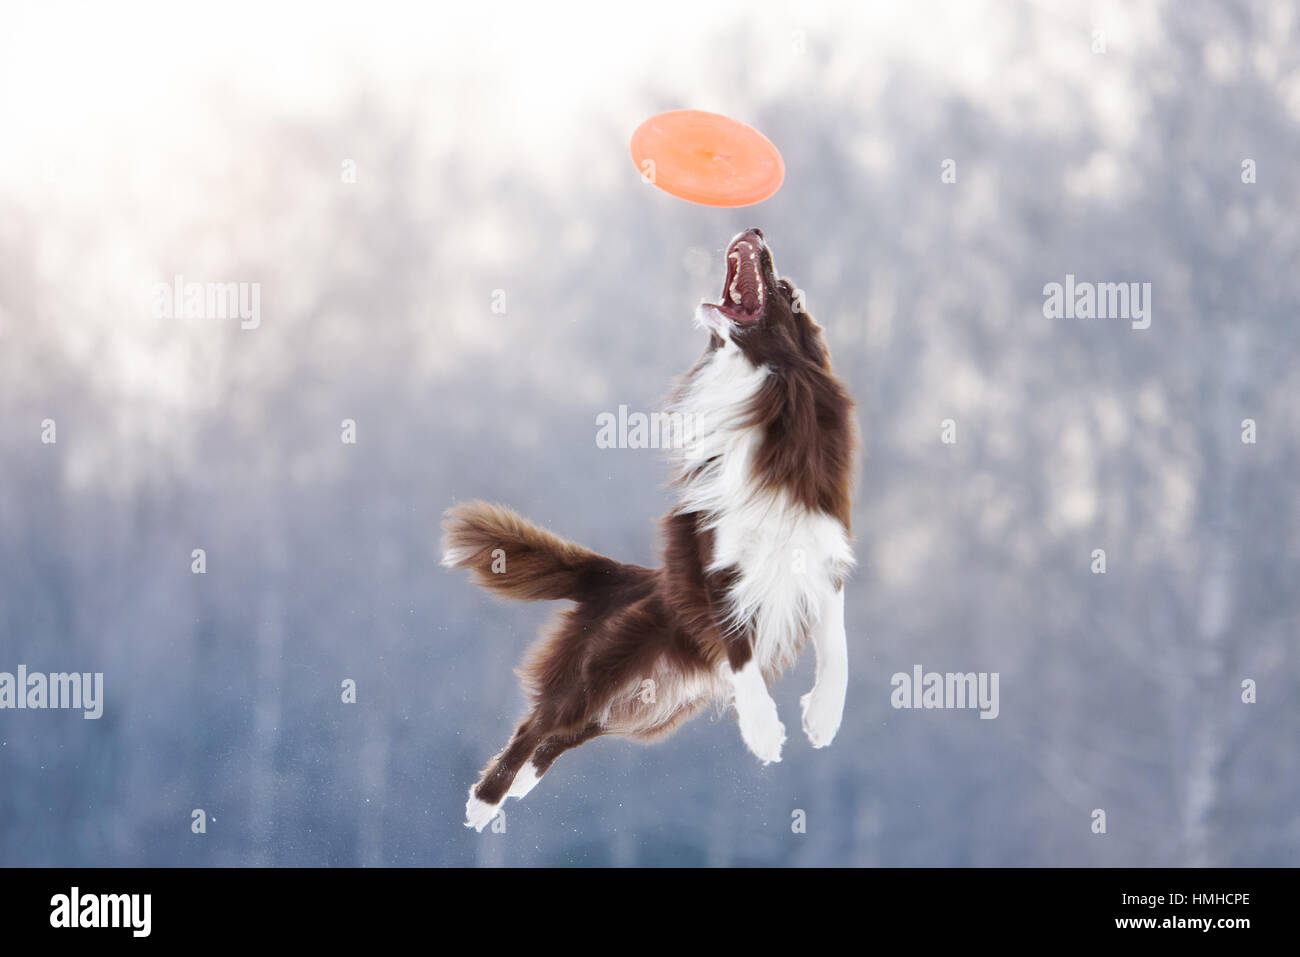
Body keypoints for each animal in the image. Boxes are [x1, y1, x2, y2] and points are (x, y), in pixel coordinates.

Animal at [441, 230, 857, 832]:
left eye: (786, 294)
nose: (755, 231)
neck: (769, 394)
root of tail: (626, 577)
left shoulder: (819, 552)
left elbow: (837, 646)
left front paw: (823, 718)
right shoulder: (715, 564)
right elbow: (741, 649)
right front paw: (763, 731)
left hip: (650, 707)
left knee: (565, 734)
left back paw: (518, 785)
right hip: (605, 665)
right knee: (539, 723)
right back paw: (487, 797)